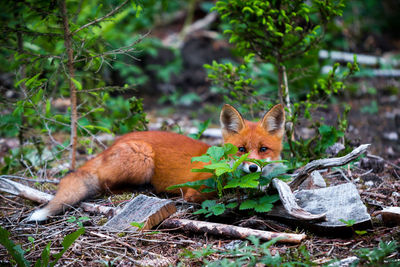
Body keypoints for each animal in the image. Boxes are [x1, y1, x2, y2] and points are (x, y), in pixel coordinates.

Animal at [28, 104, 284, 222]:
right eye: (241, 150)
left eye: (263, 149)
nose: (253, 168)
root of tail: (114, 143)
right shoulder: (195, 191)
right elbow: (216, 197)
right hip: (143, 158)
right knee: (105, 185)